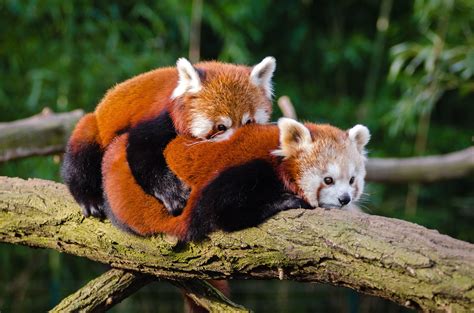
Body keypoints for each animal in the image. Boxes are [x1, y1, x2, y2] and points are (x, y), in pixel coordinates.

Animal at [63, 56, 278, 217]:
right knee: (81, 153)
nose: (239, 143)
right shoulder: (159, 118)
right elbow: (144, 156)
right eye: (221, 126)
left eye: (248, 122)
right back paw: (89, 199)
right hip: (93, 127)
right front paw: (173, 194)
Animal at [101, 115, 370, 241]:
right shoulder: (245, 170)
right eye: (328, 180)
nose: (345, 199)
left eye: (352, 180)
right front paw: (288, 200)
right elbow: (221, 213)